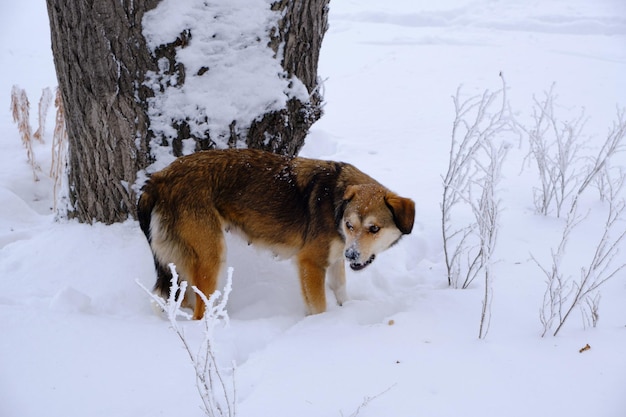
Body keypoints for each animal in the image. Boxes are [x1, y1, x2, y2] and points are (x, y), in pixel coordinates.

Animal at [136, 150, 412, 318]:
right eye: (349, 225)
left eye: (373, 228)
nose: (352, 255)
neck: (335, 203)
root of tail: (159, 178)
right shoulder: (310, 263)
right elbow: (320, 307)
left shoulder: (334, 260)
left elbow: (341, 291)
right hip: (212, 257)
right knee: (198, 313)